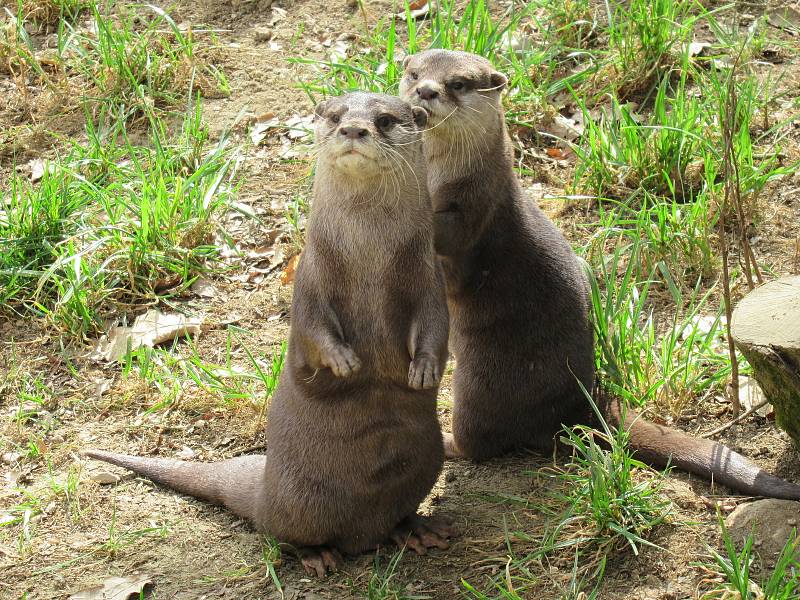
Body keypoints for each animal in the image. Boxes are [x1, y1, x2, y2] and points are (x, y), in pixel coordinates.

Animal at [86, 91, 456, 576]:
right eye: (335, 116)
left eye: (385, 120)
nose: (353, 129)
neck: (368, 255)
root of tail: (265, 487)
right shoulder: (311, 279)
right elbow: (313, 331)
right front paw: (344, 361)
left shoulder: (427, 275)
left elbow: (435, 326)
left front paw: (424, 370)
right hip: (296, 502)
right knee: (280, 534)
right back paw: (318, 555)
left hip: (430, 457)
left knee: (400, 510)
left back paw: (416, 528)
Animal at [400, 49, 800, 502]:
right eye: (413, 73)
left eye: (458, 84)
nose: (425, 91)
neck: (441, 174)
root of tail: (576, 405)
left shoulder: (474, 212)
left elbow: (449, 247)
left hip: (480, 385)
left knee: (482, 441)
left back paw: (452, 443)